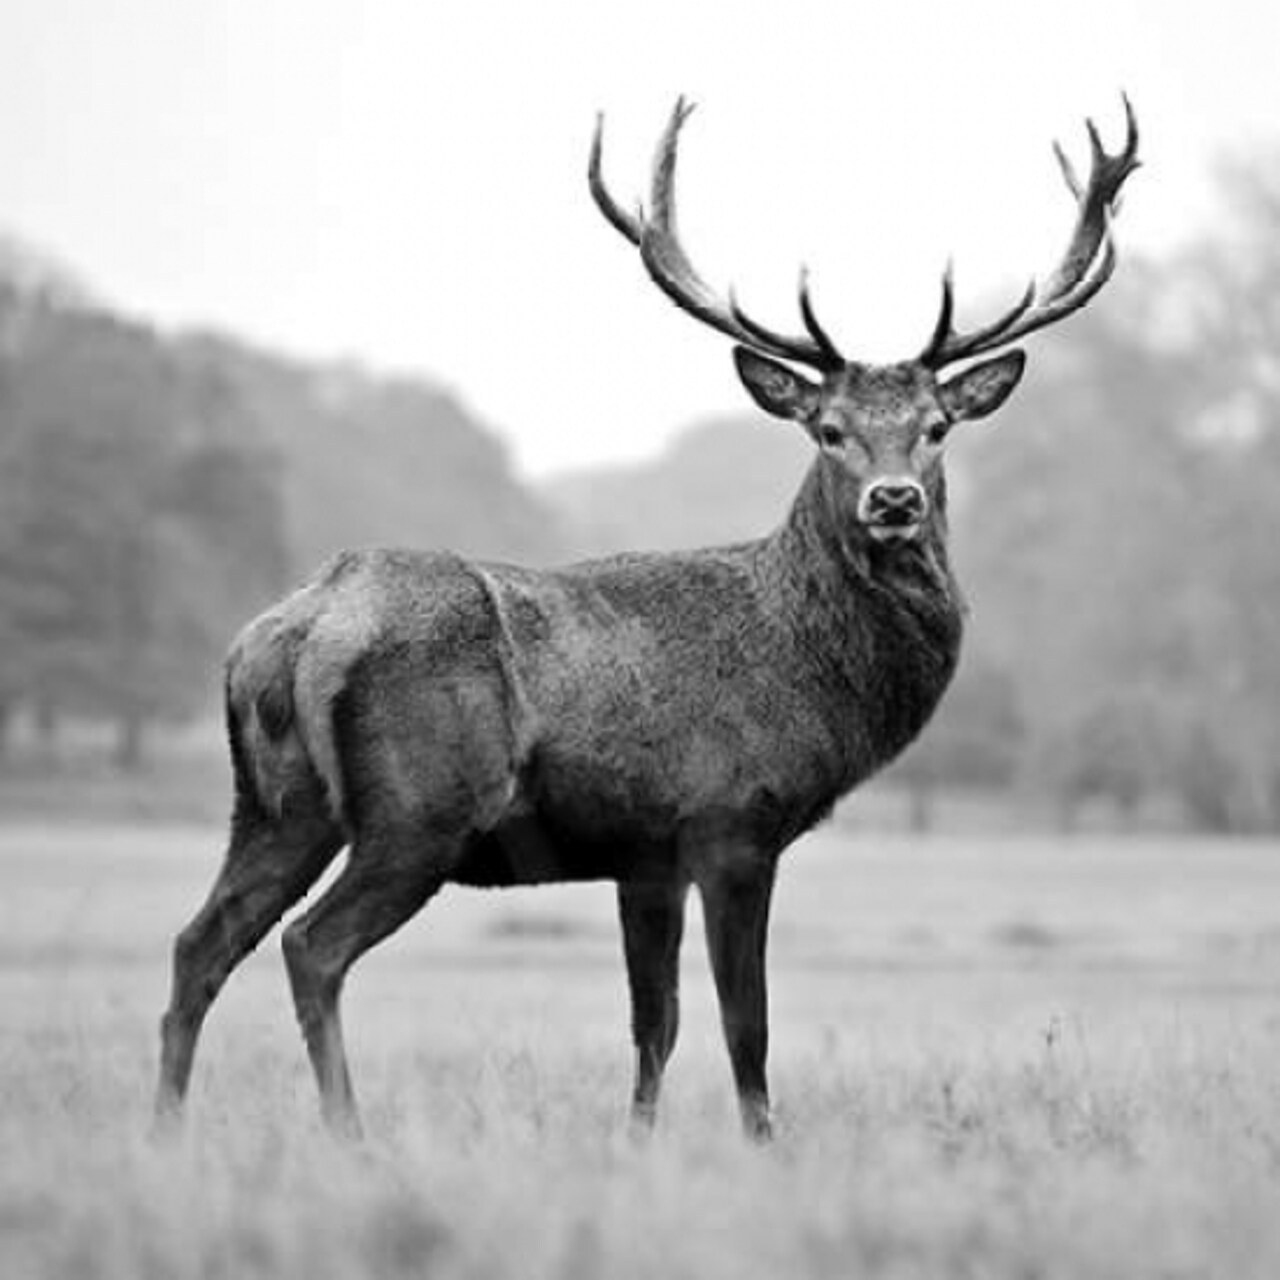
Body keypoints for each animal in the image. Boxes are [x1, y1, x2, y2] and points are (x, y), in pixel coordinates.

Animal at [154, 97, 1139, 1142]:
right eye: (828, 429)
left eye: (937, 427)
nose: (895, 500)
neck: (809, 673)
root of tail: (295, 629)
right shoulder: (732, 821)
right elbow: (746, 1023)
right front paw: (763, 1146)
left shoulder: (645, 854)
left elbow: (653, 1024)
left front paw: (637, 1145)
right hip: (420, 810)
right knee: (311, 946)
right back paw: (349, 1136)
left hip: (274, 804)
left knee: (198, 943)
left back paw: (165, 1129)